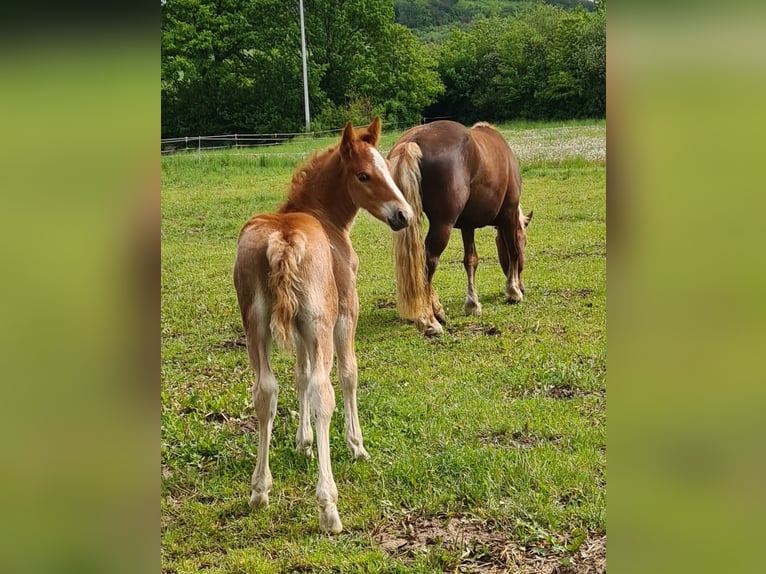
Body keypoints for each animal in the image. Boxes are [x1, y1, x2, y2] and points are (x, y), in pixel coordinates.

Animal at [233, 117, 413, 534]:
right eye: (364, 175)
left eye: (386, 167)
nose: (404, 216)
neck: (322, 217)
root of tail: (283, 240)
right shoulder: (345, 312)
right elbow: (348, 375)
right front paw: (356, 445)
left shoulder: (299, 328)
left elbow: (299, 375)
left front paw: (303, 443)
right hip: (320, 325)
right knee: (323, 391)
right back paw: (329, 507)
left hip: (257, 326)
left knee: (265, 390)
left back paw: (259, 491)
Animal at [388, 120, 532, 336]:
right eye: (526, 242)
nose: (523, 287)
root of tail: (412, 141)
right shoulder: (508, 214)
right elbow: (513, 251)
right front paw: (513, 291)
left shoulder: (467, 224)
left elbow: (471, 260)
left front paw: (472, 304)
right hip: (443, 224)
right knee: (428, 261)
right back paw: (429, 320)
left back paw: (435, 309)